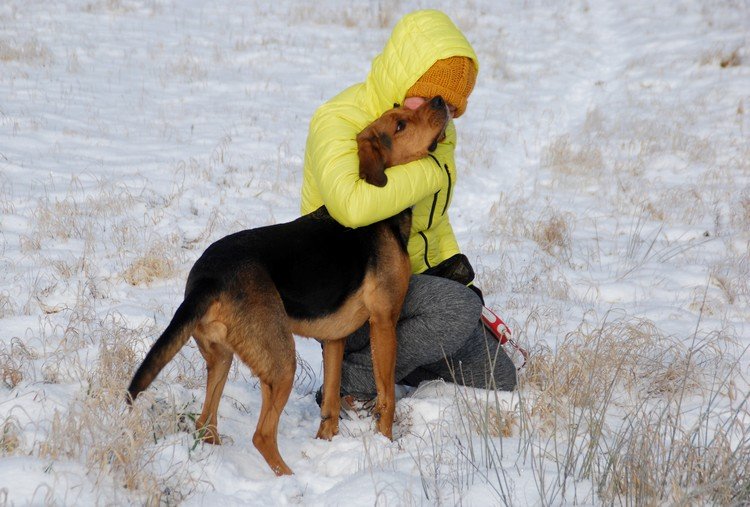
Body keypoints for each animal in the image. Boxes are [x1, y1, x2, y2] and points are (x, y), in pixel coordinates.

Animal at [128, 96, 452, 476]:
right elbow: (386, 396)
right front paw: (386, 443)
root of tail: (207, 279)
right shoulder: (384, 322)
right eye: (400, 125)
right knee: (262, 435)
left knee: (206, 423)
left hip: (222, 358)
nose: (439, 100)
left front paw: (327, 442)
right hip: (282, 361)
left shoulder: (334, 339)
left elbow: (330, 401)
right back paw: (289, 478)